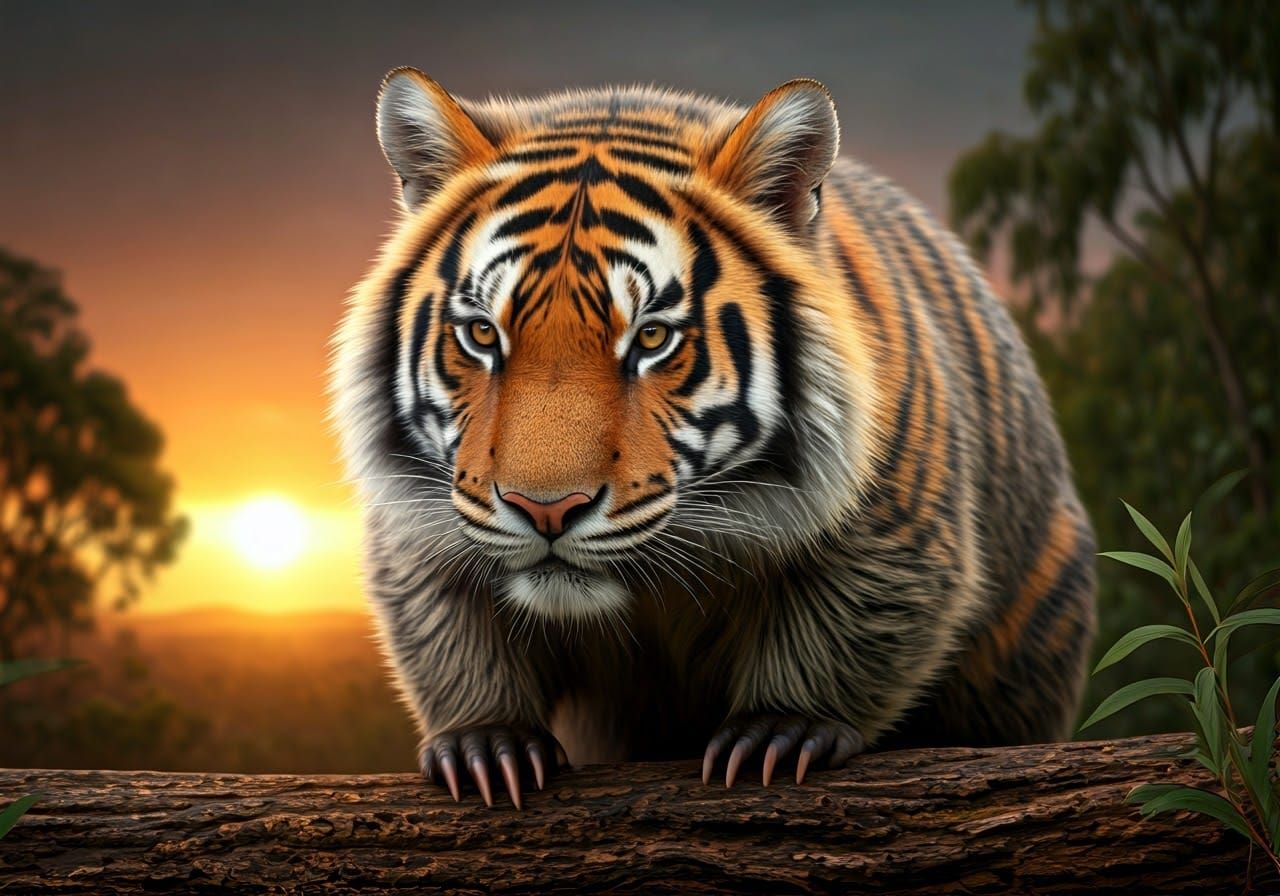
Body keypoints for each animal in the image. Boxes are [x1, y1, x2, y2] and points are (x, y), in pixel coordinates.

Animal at [330, 68, 1097, 809]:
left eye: (651, 339)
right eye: (483, 334)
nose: (545, 510)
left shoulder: (896, 533)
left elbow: (846, 628)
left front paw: (778, 735)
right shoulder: (421, 534)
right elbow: (451, 637)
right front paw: (488, 747)